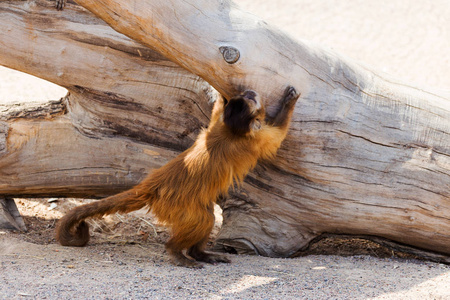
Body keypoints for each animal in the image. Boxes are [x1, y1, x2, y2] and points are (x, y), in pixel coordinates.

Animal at [56, 85, 300, 268]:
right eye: (250, 99)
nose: (250, 92)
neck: (231, 131)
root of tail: (154, 183)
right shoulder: (256, 138)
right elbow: (278, 135)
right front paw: (290, 102)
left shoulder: (218, 126)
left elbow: (216, 113)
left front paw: (220, 96)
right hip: (174, 204)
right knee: (203, 218)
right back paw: (176, 252)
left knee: (206, 215)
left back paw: (199, 253)